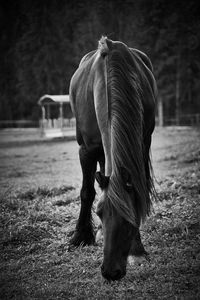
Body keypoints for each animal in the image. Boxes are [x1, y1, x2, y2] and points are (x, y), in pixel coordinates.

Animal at [69, 37, 157, 282]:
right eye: (99, 213)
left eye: (130, 218)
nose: (110, 272)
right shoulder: (86, 150)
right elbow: (87, 192)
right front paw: (81, 236)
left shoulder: (142, 144)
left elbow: (139, 189)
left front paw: (137, 250)